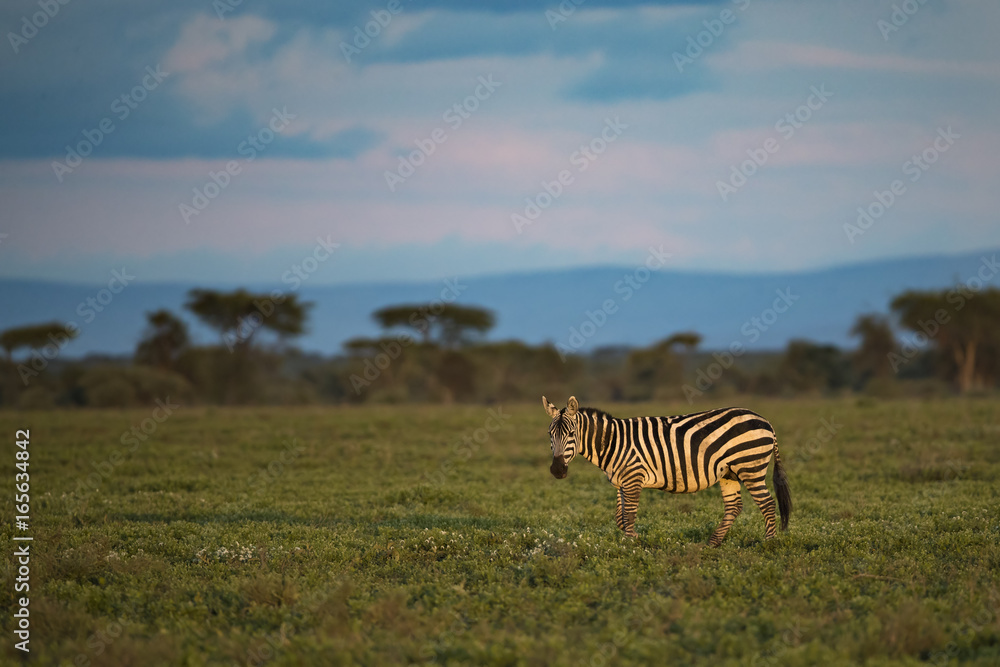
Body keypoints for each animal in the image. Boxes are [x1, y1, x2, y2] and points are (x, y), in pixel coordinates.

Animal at [543, 396, 791, 546]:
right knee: (735, 506)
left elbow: (629, 516)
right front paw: (632, 542)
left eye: (571, 434)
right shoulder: (621, 482)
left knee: (767, 503)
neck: (613, 442)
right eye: (549, 434)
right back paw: (712, 544)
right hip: (729, 473)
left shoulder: (633, 477)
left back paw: (769, 544)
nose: (557, 470)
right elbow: (620, 519)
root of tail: (765, 420)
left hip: (750, 467)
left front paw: (631, 549)